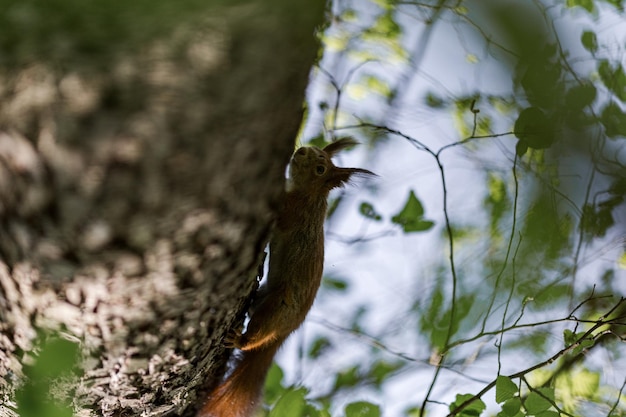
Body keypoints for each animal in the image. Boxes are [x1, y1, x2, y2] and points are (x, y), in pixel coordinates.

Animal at [197, 137, 372, 416]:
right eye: (316, 150)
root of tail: (288, 330)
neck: (309, 195)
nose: (302, 150)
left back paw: (241, 338)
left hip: (276, 311)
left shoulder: (292, 212)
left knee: (257, 334)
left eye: (321, 169)